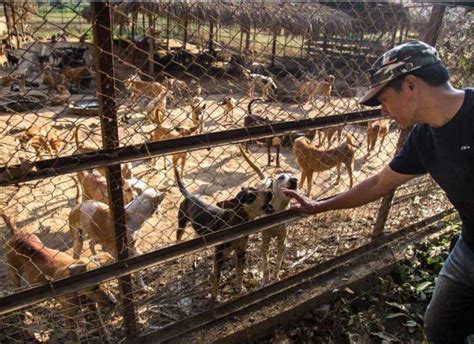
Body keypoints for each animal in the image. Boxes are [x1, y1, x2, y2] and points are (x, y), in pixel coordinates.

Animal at [1, 208, 116, 342]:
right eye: (95, 287)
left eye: (107, 282)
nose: (114, 302)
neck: (80, 293)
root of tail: (16, 233)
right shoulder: (69, 318)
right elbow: (75, 338)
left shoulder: (94, 307)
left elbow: (101, 324)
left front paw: (107, 337)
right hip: (15, 273)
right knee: (17, 289)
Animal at [239, 146, 298, 284]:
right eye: (281, 177)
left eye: (294, 176)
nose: (295, 180)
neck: (278, 211)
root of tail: (265, 179)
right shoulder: (265, 242)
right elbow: (265, 263)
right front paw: (266, 279)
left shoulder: (282, 241)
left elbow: (278, 261)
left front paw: (275, 276)